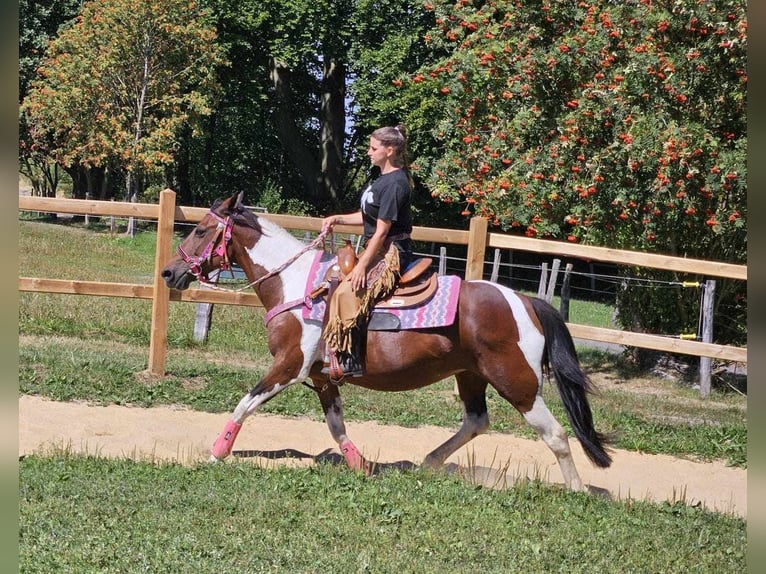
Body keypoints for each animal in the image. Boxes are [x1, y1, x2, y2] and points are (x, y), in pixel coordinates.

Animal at [160, 194, 612, 490]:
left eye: (200, 229)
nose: (168, 272)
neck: (295, 286)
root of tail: (526, 301)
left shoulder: (290, 365)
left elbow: (245, 402)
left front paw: (216, 451)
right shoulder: (322, 377)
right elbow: (336, 426)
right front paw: (362, 465)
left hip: (517, 382)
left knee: (555, 434)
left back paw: (575, 490)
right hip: (470, 375)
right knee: (477, 421)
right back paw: (429, 462)